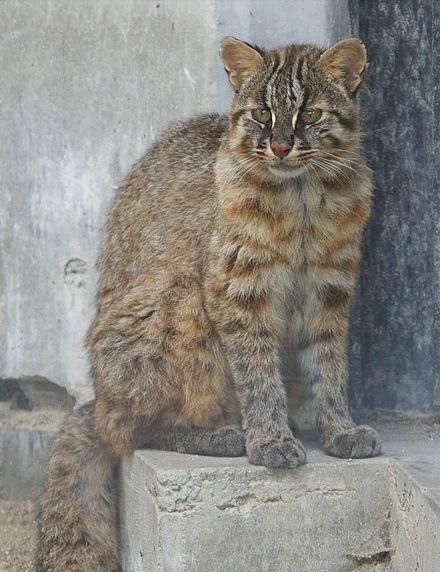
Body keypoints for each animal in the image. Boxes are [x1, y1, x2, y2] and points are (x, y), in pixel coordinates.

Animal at [37, 36, 382, 572]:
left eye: (308, 114)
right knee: (124, 430)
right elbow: (257, 374)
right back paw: (222, 434)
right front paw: (269, 439)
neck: (303, 195)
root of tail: (98, 398)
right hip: (180, 296)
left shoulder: (331, 289)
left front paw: (338, 429)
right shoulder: (236, 289)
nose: (279, 145)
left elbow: (329, 367)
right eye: (262, 114)